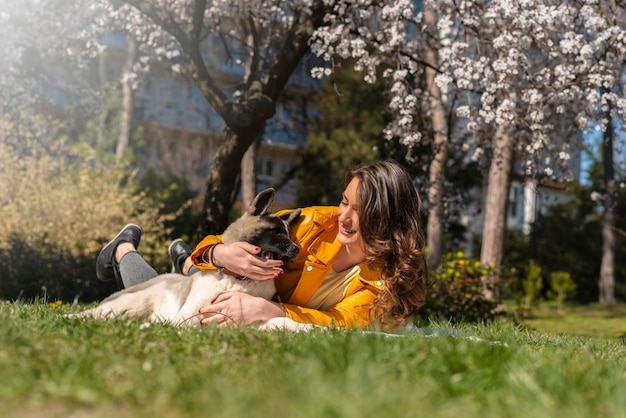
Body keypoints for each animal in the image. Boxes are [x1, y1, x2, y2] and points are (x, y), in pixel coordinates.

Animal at [72, 189, 310, 330]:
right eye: (275, 232)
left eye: (289, 235)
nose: (296, 249)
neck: (239, 279)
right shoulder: (191, 314)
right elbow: (189, 324)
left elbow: (283, 321)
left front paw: (312, 329)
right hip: (130, 305)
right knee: (90, 314)